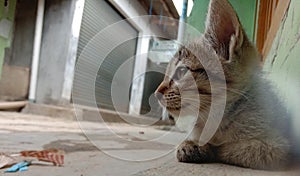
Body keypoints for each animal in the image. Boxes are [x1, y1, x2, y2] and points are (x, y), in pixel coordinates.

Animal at [155, 0, 290, 170]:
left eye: (181, 71)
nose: (156, 92)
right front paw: (191, 143)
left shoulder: (277, 147)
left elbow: (229, 148)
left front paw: (200, 146)